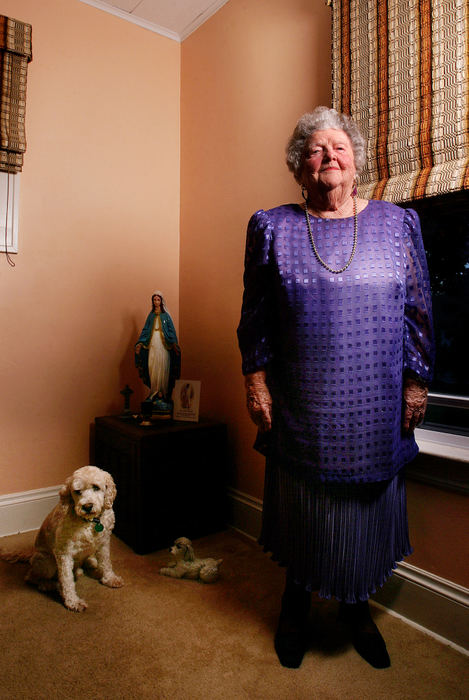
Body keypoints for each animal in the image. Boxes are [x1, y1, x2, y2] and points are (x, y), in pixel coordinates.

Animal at [7, 468, 122, 608]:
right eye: (77, 491)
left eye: (96, 487)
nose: (87, 506)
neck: (89, 522)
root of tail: (31, 554)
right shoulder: (63, 552)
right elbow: (67, 579)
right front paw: (73, 602)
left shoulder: (104, 542)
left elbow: (106, 563)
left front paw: (110, 579)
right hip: (47, 562)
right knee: (31, 577)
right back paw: (50, 585)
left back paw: (89, 563)